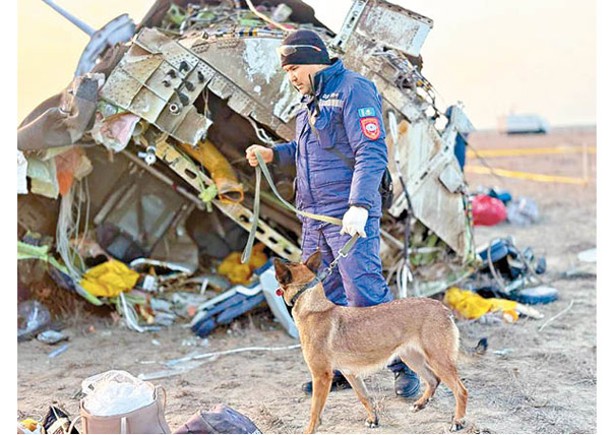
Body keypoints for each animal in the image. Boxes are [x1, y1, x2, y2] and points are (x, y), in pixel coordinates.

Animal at [274, 254, 468, 434]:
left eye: (288, 262)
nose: (276, 257)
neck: (311, 304)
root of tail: (442, 308)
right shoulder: (350, 373)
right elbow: (365, 398)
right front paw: (373, 419)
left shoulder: (321, 376)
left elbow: (314, 411)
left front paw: (309, 430)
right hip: (412, 358)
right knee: (433, 380)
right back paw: (420, 404)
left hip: (438, 360)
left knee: (461, 391)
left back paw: (457, 421)